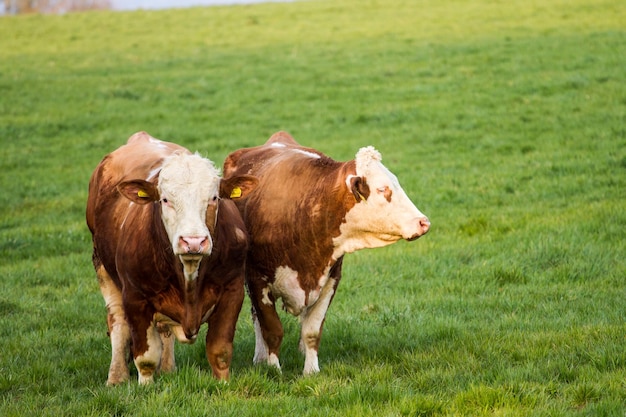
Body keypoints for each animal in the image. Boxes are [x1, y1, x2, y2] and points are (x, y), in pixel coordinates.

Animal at [85, 132, 256, 384]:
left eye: (214, 198)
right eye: (165, 200)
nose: (193, 241)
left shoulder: (232, 290)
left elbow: (220, 351)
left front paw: (223, 383)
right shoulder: (135, 296)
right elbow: (145, 356)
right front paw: (146, 386)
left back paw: (167, 369)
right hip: (102, 267)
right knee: (117, 322)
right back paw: (117, 377)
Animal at [222, 132, 432, 376]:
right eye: (382, 189)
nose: (423, 222)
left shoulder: (331, 279)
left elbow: (312, 330)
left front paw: (311, 371)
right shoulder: (257, 279)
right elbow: (272, 328)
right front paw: (274, 369)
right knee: (257, 318)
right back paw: (260, 357)